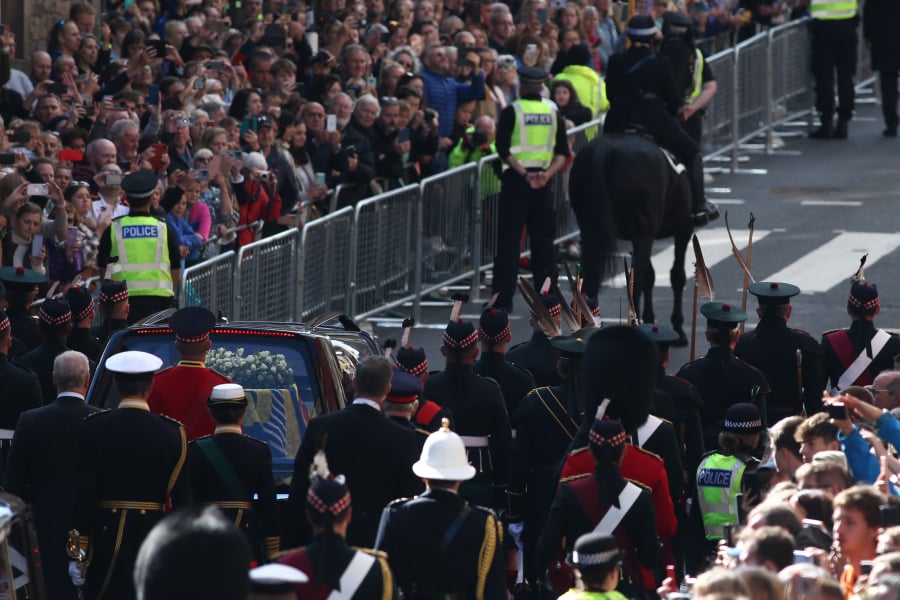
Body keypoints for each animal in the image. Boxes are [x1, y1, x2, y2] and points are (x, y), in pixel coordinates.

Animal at [568, 134, 696, 344]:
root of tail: (605, 149)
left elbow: (651, 276)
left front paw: (651, 320)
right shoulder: (682, 230)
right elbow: (676, 276)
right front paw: (677, 327)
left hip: (591, 231)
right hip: (643, 235)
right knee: (635, 286)